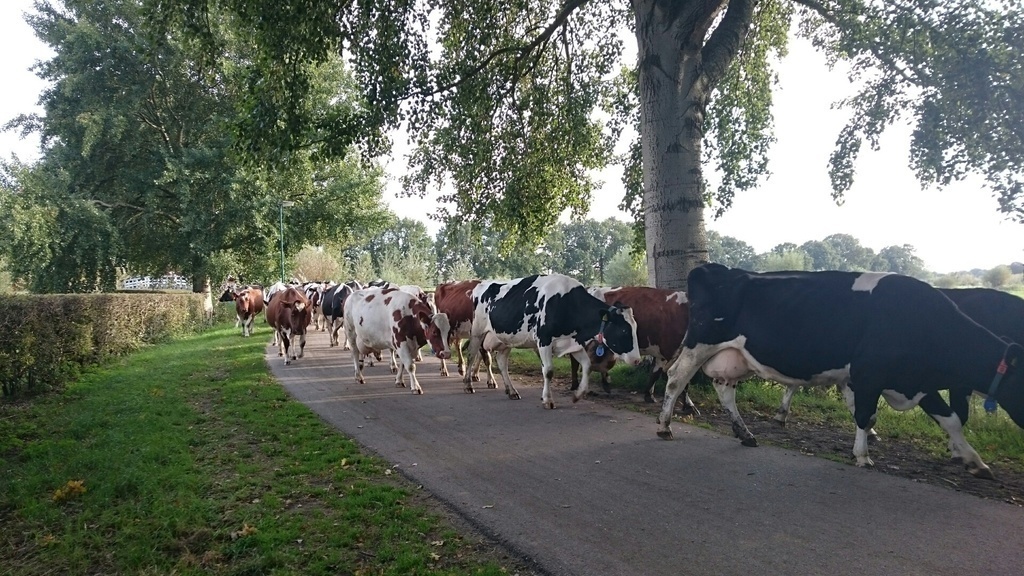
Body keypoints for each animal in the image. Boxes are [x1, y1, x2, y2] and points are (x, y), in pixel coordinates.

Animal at [463, 274, 644, 409]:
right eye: (624, 330)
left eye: (635, 329)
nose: (637, 360)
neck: (566, 303)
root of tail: (482, 284)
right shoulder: (544, 341)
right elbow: (548, 371)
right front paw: (548, 400)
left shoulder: (573, 343)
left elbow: (587, 366)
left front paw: (578, 395)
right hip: (477, 332)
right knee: (471, 355)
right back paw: (468, 384)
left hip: (506, 338)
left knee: (501, 361)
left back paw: (512, 391)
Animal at [656, 264, 1024, 479]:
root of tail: (713, 268)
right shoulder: (870, 374)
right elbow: (865, 414)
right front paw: (863, 456)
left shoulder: (915, 380)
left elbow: (952, 420)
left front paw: (975, 461)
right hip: (700, 343)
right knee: (676, 380)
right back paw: (664, 426)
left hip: (734, 356)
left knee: (724, 389)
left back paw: (745, 434)